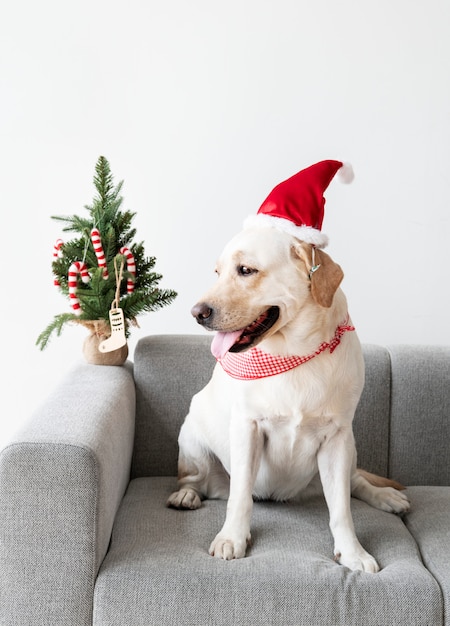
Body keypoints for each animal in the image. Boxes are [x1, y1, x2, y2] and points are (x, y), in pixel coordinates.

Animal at [167, 161, 410, 572]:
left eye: (246, 270)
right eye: (217, 272)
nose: (197, 313)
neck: (294, 352)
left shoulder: (337, 439)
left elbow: (341, 510)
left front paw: (353, 552)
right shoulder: (247, 427)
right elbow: (240, 497)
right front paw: (232, 539)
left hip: (349, 449)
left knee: (356, 482)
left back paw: (386, 497)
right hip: (193, 436)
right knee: (199, 480)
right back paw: (186, 495)